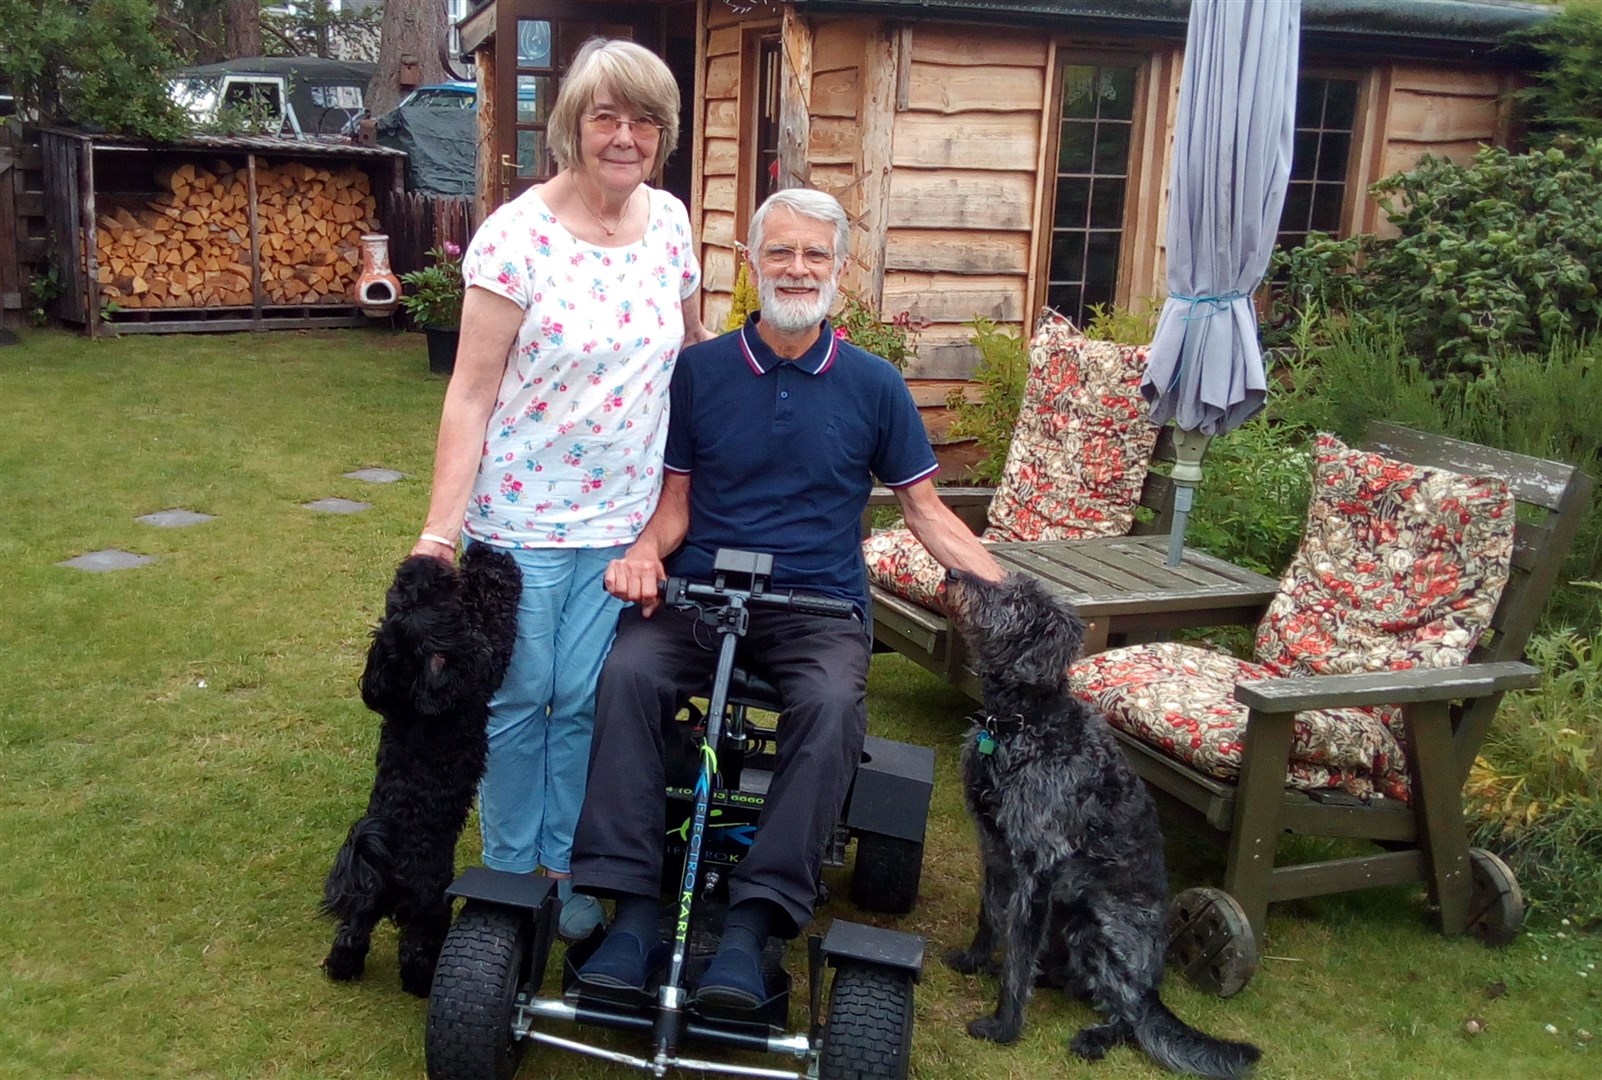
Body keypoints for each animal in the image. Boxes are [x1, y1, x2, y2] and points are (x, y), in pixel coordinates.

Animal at [322, 548, 522, 993]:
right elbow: (495, 621)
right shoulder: (485, 659)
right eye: (431, 591)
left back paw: (341, 970)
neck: (410, 689)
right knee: (415, 948)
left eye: (399, 591)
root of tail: (384, 858)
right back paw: (422, 984)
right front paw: (492, 566)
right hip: (429, 903)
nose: (419, 560)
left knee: (351, 933)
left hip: (365, 906)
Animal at [935, 567, 1262, 1070]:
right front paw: (974, 961)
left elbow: (1017, 959)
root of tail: (1153, 984)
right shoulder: (995, 850)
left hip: (1090, 924)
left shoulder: (1038, 865)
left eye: (1016, 602)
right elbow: (989, 917)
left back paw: (1097, 1037)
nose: (953, 573)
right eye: (1005, 585)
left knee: (1128, 1014)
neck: (1023, 724)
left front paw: (1003, 1027)